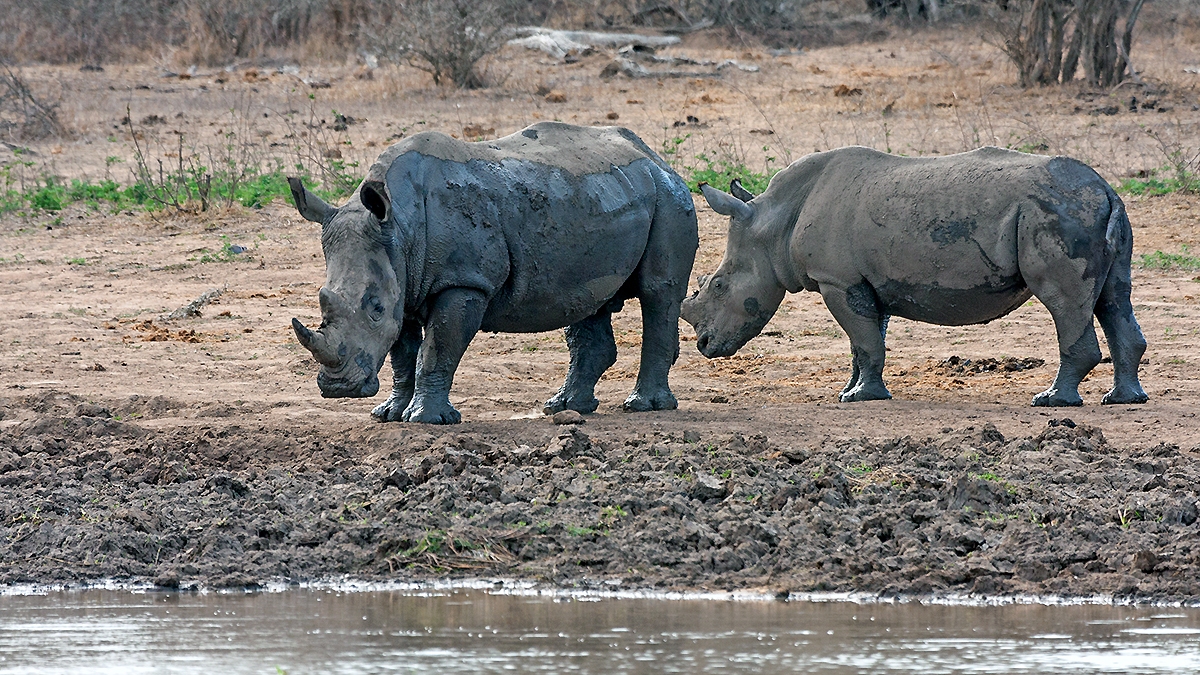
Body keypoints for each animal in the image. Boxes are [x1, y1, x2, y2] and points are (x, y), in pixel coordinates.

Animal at [288, 122, 698, 423]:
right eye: (324, 302)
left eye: (373, 307)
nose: (338, 388)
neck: (400, 226)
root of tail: (655, 157)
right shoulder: (401, 281)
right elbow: (402, 352)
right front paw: (388, 414)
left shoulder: (465, 281)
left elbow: (436, 348)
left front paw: (425, 419)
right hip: (597, 195)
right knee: (586, 300)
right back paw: (565, 407)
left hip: (669, 197)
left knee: (658, 292)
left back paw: (643, 406)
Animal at [680, 146, 1148, 407]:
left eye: (718, 286)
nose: (704, 346)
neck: (773, 223)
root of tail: (1106, 188)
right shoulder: (864, 281)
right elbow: (865, 342)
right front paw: (853, 392)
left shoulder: (837, 280)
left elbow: (865, 341)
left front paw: (860, 399)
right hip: (1092, 211)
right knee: (1113, 299)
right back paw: (1121, 399)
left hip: (1057, 213)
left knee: (1063, 302)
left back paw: (1052, 403)